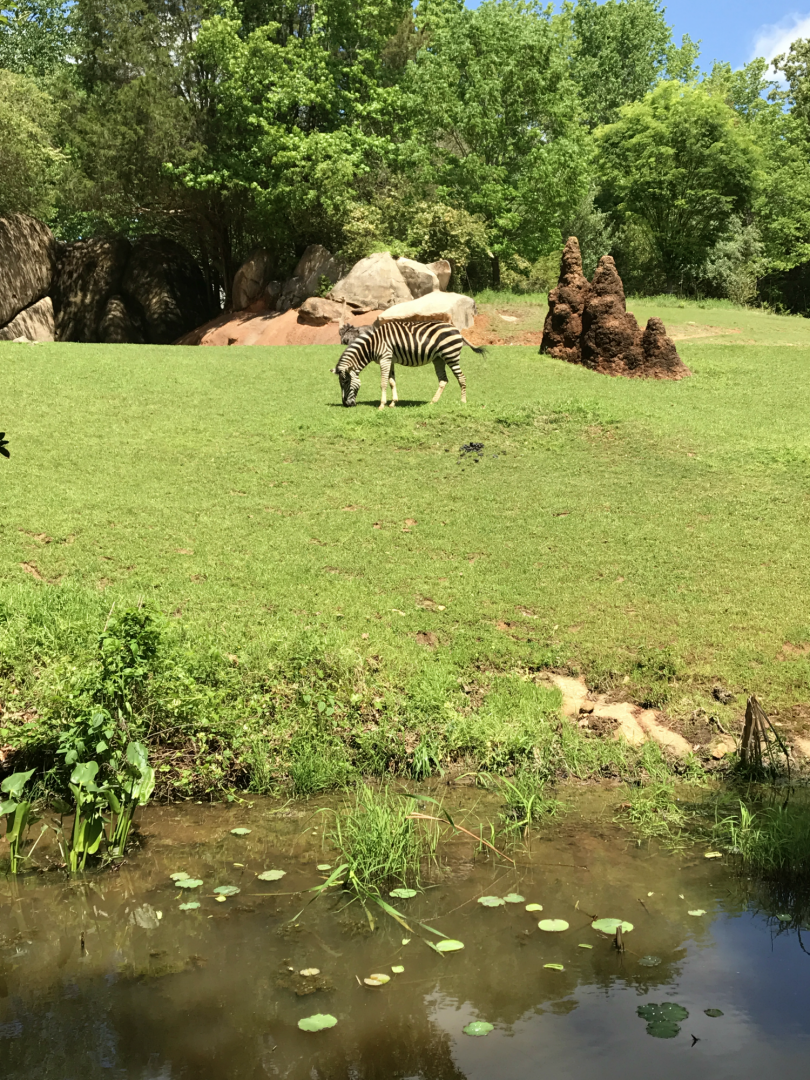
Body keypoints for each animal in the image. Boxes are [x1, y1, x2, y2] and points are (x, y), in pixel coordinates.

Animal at [331, 319, 485, 408]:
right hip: (439, 359)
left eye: (345, 382)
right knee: (443, 380)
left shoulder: (385, 358)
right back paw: (433, 402)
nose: (346, 405)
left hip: (451, 356)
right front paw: (393, 403)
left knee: (461, 377)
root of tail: (456, 329)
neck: (372, 344)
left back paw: (463, 401)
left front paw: (382, 405)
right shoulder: (390, 360)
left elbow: (383, 382)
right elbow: (392, 381)